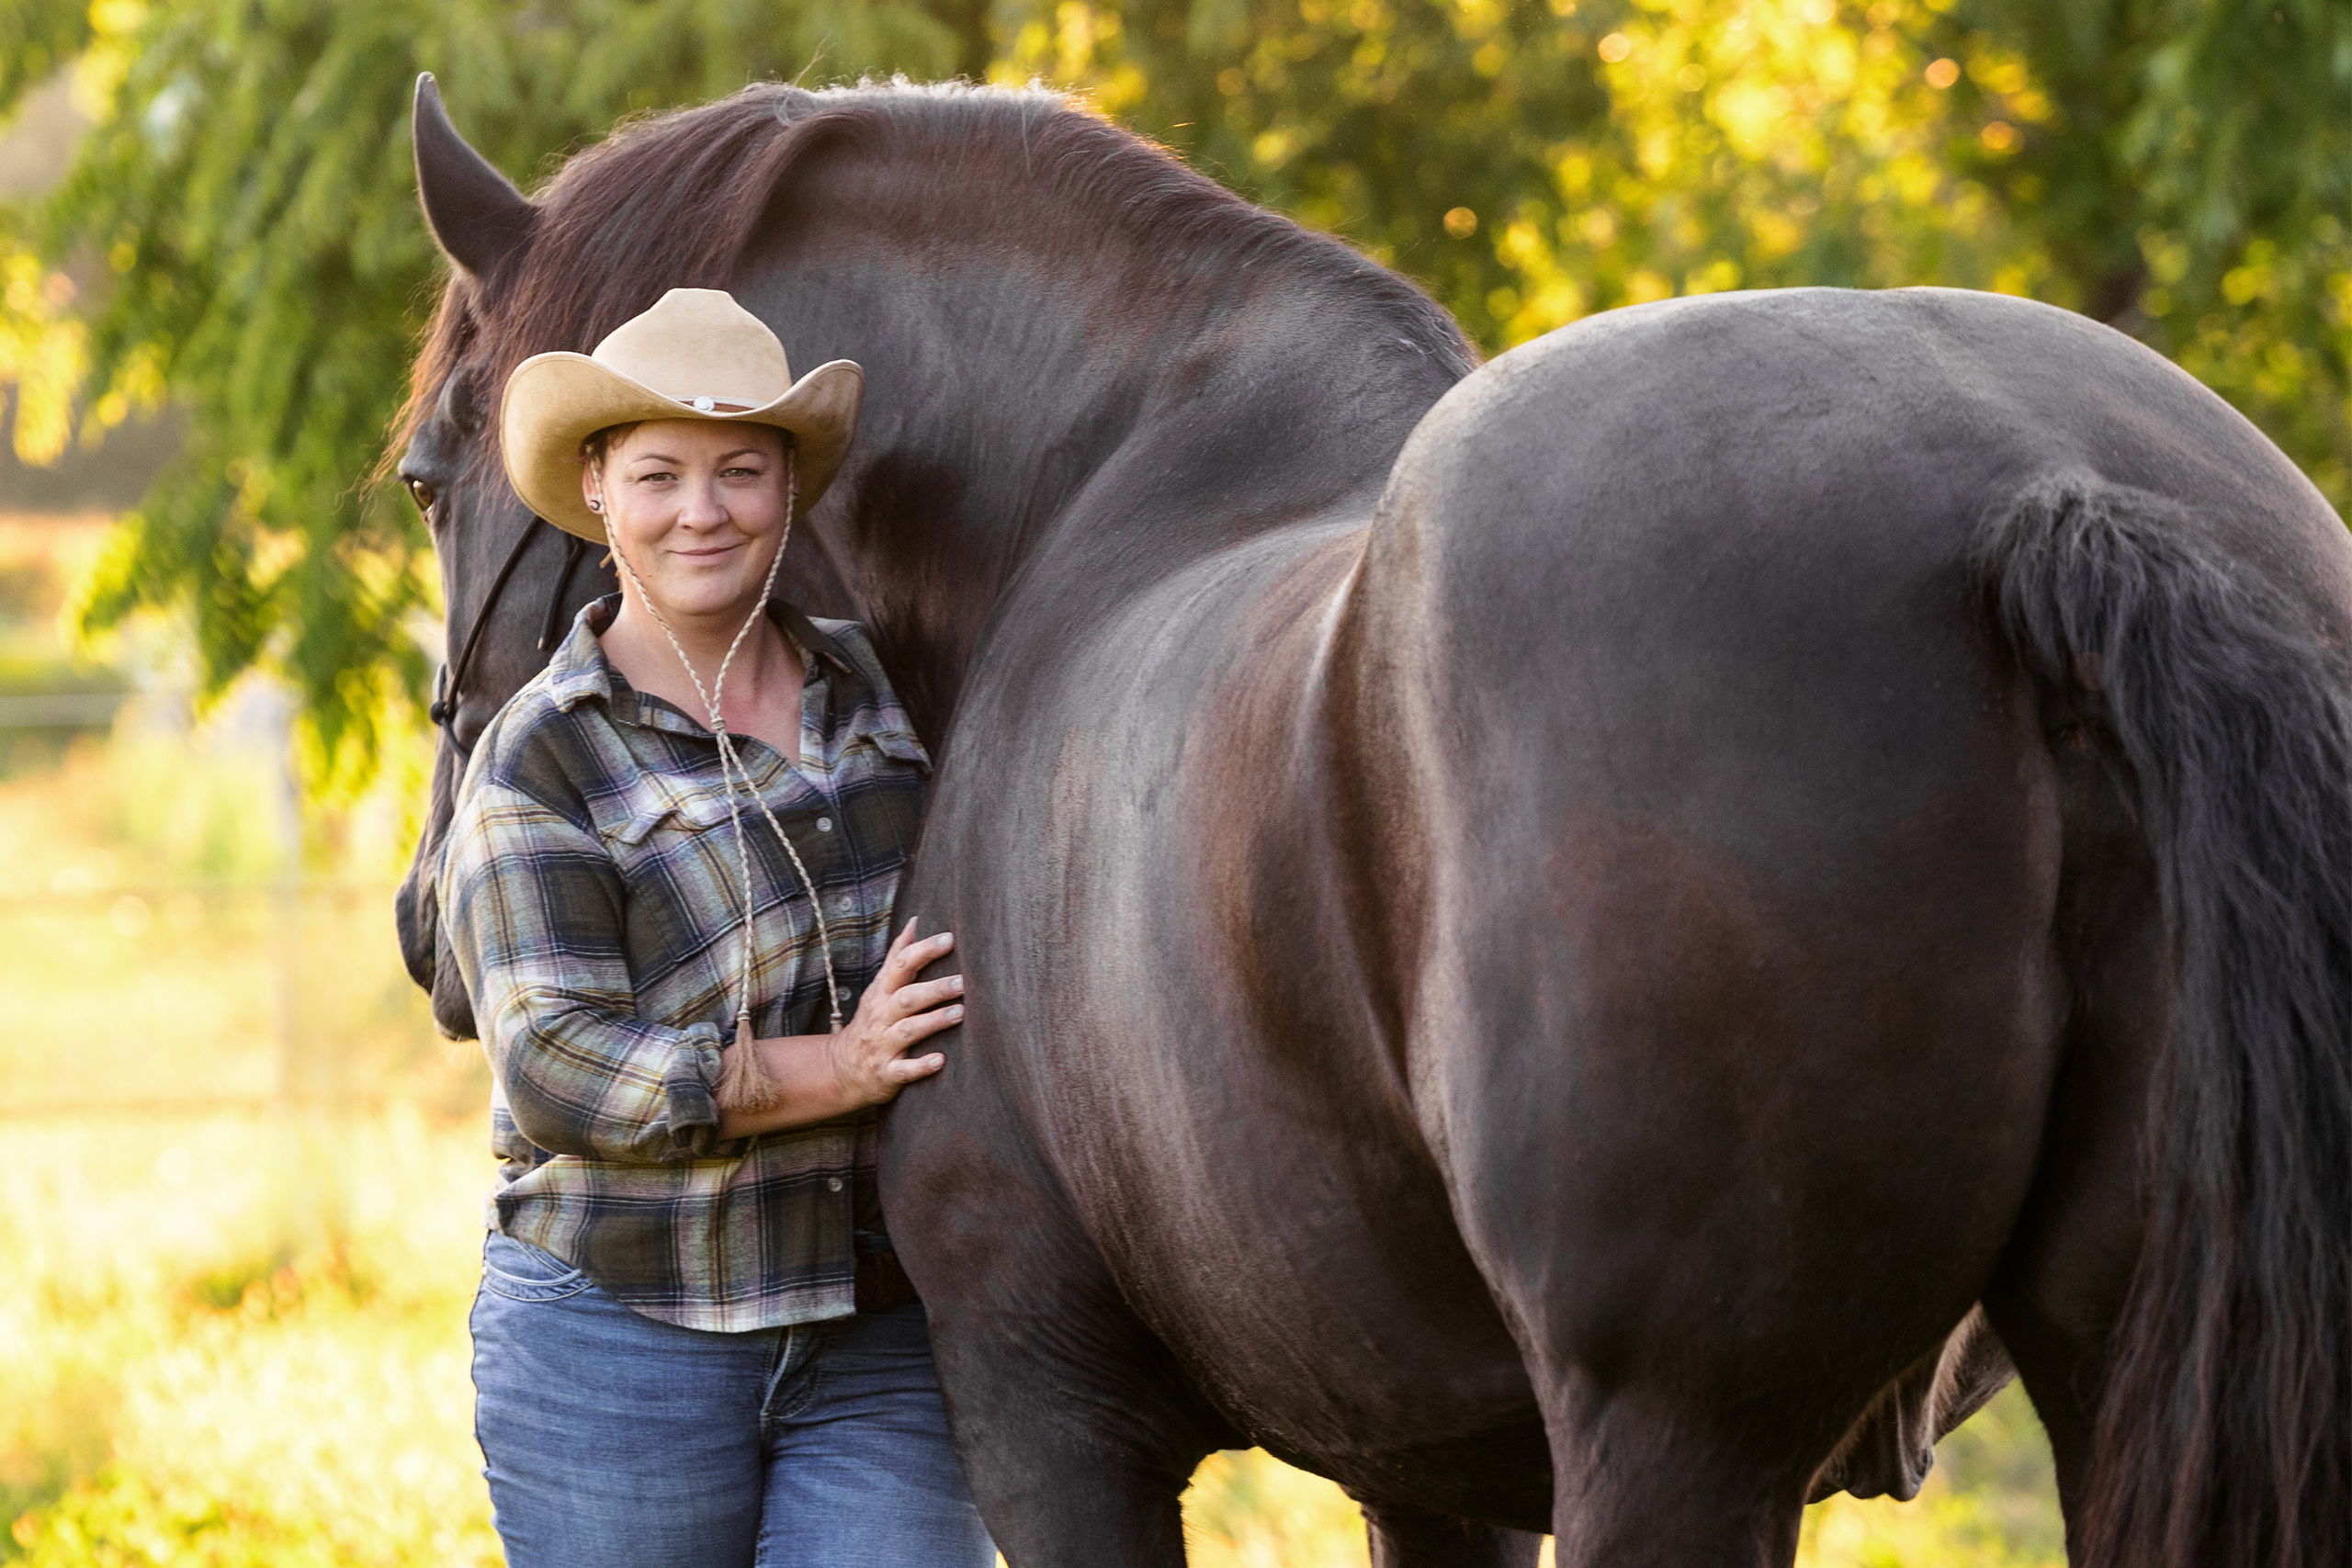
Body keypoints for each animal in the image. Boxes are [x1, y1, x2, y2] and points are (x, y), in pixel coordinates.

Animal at [393, 75, 2352, 1568]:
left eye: (425, 471)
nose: (435, 924)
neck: (1099, 492)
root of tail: (2041, 495)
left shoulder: (1044, 1412)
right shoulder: (1438, 1464)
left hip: (1683, 1443)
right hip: (2126, 1372)